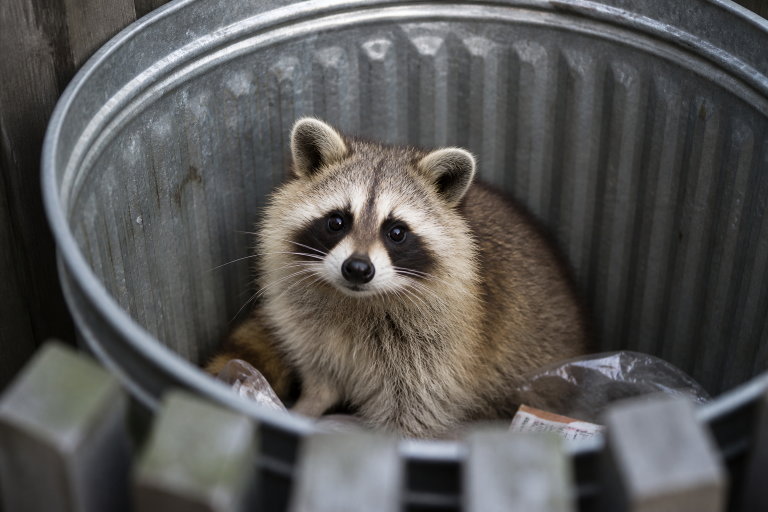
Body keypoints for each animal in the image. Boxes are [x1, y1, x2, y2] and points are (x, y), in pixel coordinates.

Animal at [206, 117, 592, 438]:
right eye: (336, 221)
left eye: (396, 232)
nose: (357, 269)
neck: (357, 301)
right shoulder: (312, 332)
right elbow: (322, 379)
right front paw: (305, 408)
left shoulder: (437, 352)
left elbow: (414, 410)